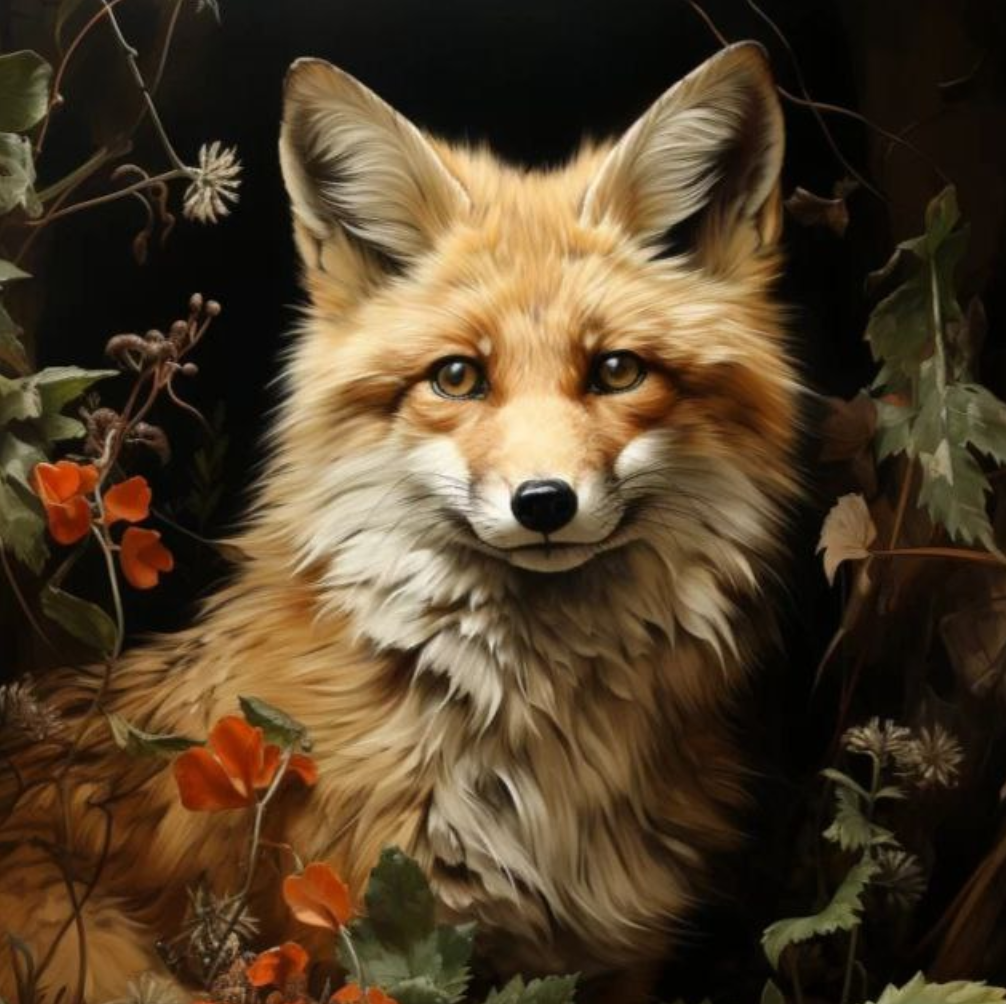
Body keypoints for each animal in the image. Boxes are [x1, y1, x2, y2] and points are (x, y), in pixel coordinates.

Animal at [1, 41, 801, 1004]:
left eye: (616, 371)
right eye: (456, 378)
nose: (543, 503)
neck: (535, 768)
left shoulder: (614, 961)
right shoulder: (331, 939)